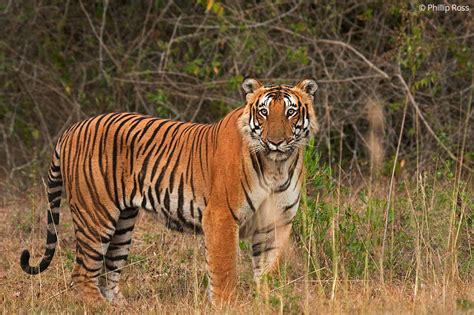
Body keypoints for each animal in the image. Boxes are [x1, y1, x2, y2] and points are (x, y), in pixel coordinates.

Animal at [21, 78, 318, 306]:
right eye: (264, 112)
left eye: (290, 112)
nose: (276, 141)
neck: (276, 165)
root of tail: (72, 128)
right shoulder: (221, 216)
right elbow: (224, 269)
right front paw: (228, 305)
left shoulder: (276, 221)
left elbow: (269, 270)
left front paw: (269, 299)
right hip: (95, 215)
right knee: (82, 273)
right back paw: (99, 308)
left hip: (123, 224)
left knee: (109, 272)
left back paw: (121, 307)